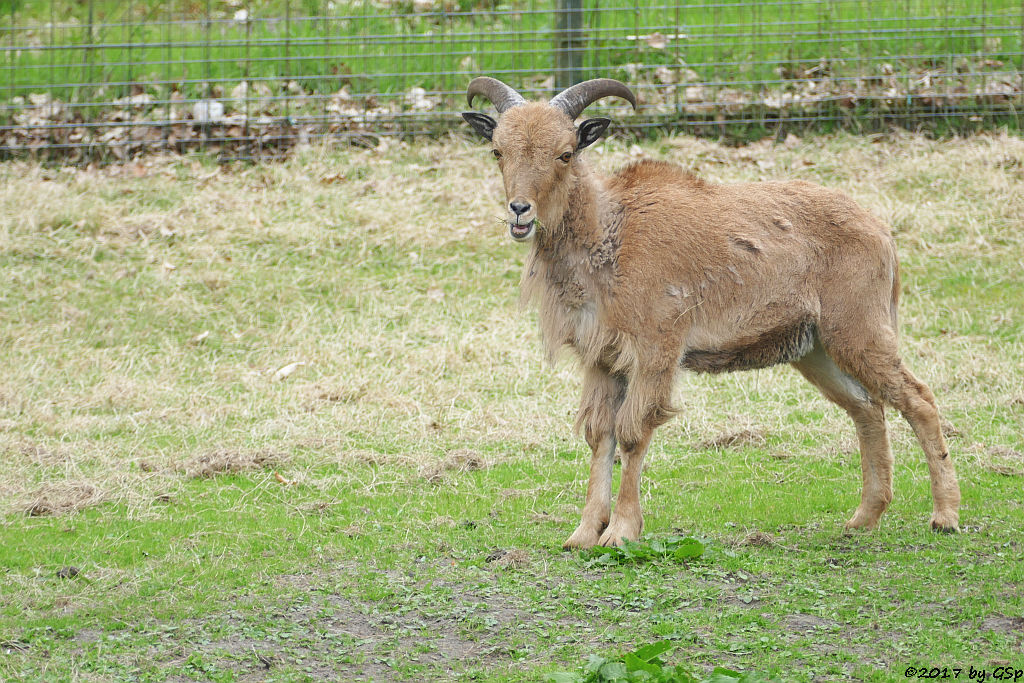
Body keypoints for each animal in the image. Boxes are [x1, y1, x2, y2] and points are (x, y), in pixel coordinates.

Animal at [460, 77, 954, 548]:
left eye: (564, 154)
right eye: (498, 151)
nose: (520, 211)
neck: (609, 234)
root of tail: (881, 232)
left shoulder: (655, 350)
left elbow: (632, 432)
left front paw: (620, 531)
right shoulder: (602, 360)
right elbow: (600, 435)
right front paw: (582, 534)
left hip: (859, 330)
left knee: (919, 400)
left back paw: (945, 516)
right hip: (815, 349)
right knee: (868, 409)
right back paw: (863, 519)